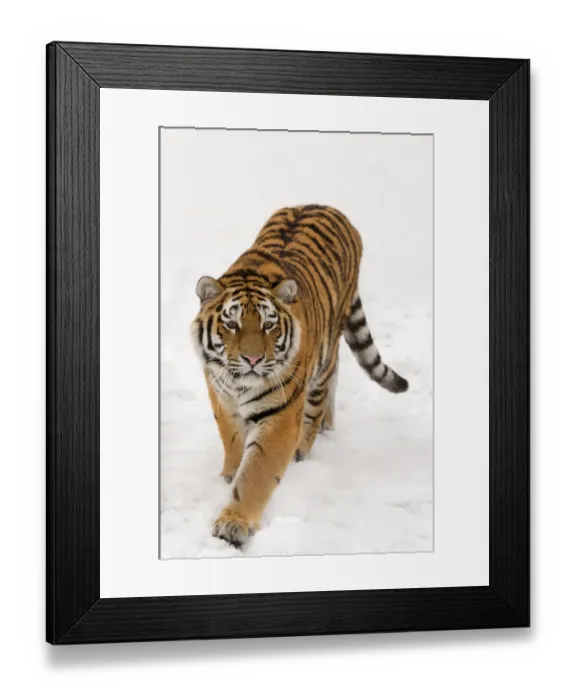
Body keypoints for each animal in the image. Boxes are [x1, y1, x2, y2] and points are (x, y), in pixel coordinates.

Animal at [191, 204, 409, 547]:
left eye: (268, 325)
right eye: (232, 324)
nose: (252, 359)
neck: (239, 387)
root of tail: (327, 206)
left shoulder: (278, 415)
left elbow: (255, 474)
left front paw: (233, 523)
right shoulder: (221, 397)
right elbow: (233, 441)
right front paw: (229, 473)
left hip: (324, 356)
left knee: (320, 395)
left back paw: (306, 444)